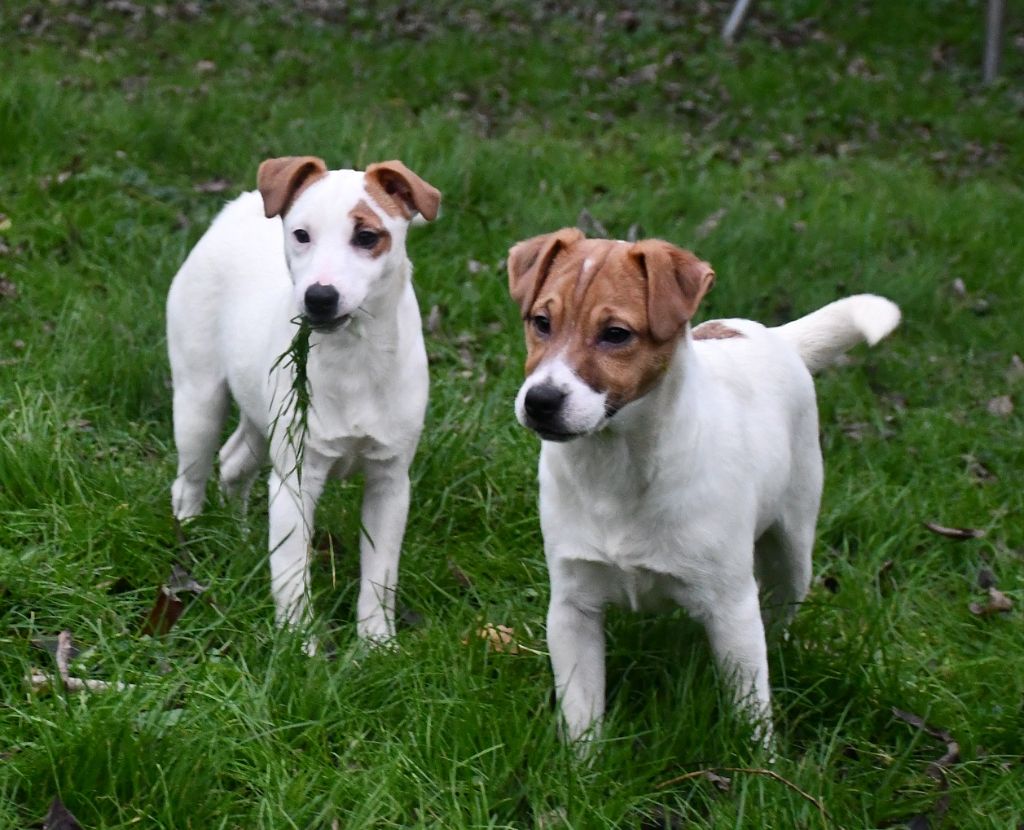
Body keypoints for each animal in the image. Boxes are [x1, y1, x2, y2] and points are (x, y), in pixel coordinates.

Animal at [507, 227, 901, 745]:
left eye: (616, 334)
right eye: (541, 322)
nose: (540, 401)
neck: (617, 463)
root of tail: (773, 336)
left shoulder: (732, 609)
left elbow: (751, 708)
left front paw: (761, 763)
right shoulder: (573, 606)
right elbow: (580, 710)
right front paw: (582, 761)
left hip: (792, 551)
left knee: (779, 611)